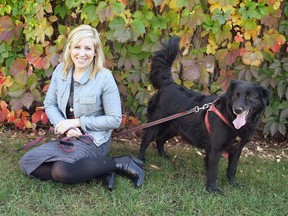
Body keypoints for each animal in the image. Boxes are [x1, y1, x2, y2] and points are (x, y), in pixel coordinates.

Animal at [140, 36, 270, 193]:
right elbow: (213, 171)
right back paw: (141, 160)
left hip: (173, 127)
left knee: (160, 139)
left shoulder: (237, 149)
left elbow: (232, 169)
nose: (237, 109)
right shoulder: (215, 149)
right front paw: (213, 189)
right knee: (145, 141)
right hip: (156, 124)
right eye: (235, 96)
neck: (229, 117)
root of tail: (169, 84)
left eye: (250, 97)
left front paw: (233, 183)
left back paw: (164, 156)